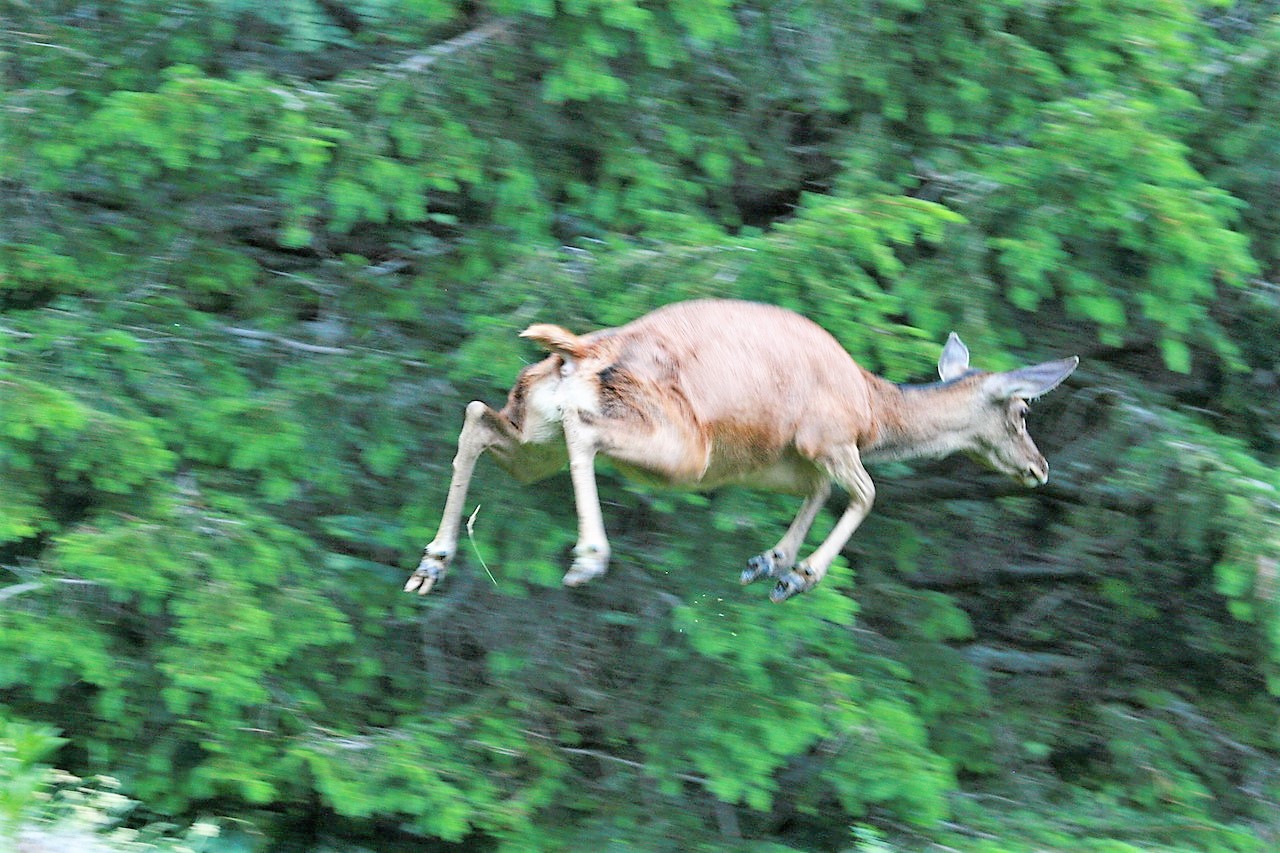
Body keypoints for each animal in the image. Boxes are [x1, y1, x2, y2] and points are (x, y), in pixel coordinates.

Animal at [405, 299, 1078, 603]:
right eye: (1022, 411)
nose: (1040, 469)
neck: (875, 410)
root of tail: (581, 351)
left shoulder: (774, 460)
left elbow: (819, 489)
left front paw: (770, 562)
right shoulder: (828, 434)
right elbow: (865, 491)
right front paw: (801, 573)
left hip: (533, 437)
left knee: (478, 417)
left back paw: (431, 564)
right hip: (681, 447)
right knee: (584, 427)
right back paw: (589, 558)